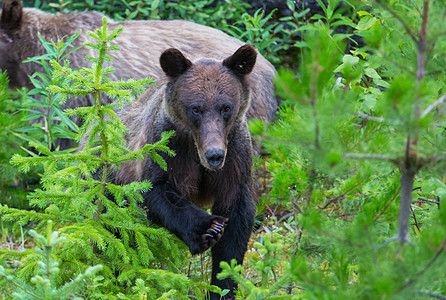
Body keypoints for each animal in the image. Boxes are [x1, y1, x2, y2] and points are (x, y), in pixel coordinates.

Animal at [111, 45, 258, 300]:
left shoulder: (235, 156)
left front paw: (222, 286)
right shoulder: (167, 146)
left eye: (226, 107)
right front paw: (208, 229)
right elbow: (157, 192)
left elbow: (235, 220)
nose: (214, 155)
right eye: (196, 108)